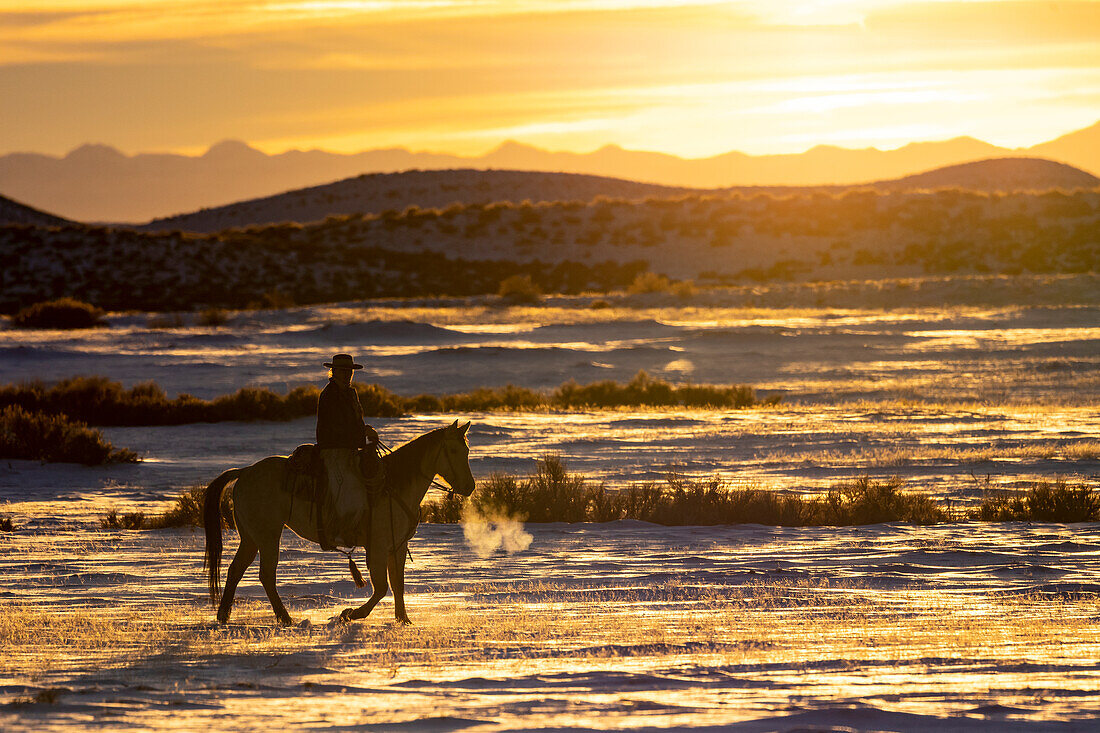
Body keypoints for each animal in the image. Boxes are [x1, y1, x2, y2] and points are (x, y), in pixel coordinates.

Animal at [202, 420, 473, 625]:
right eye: (454, 451)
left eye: (467, 450)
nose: (469, 487)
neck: (393, 485)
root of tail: (245, 471)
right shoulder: (377, 546)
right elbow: (381, 588)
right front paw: (350, 613)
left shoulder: (397, 546)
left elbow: (398, 584)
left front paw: (403, 619)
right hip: (268, 536)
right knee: (266, 575)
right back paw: (285, 617)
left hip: (251, 537)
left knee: (236, 570)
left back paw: (224, 615)